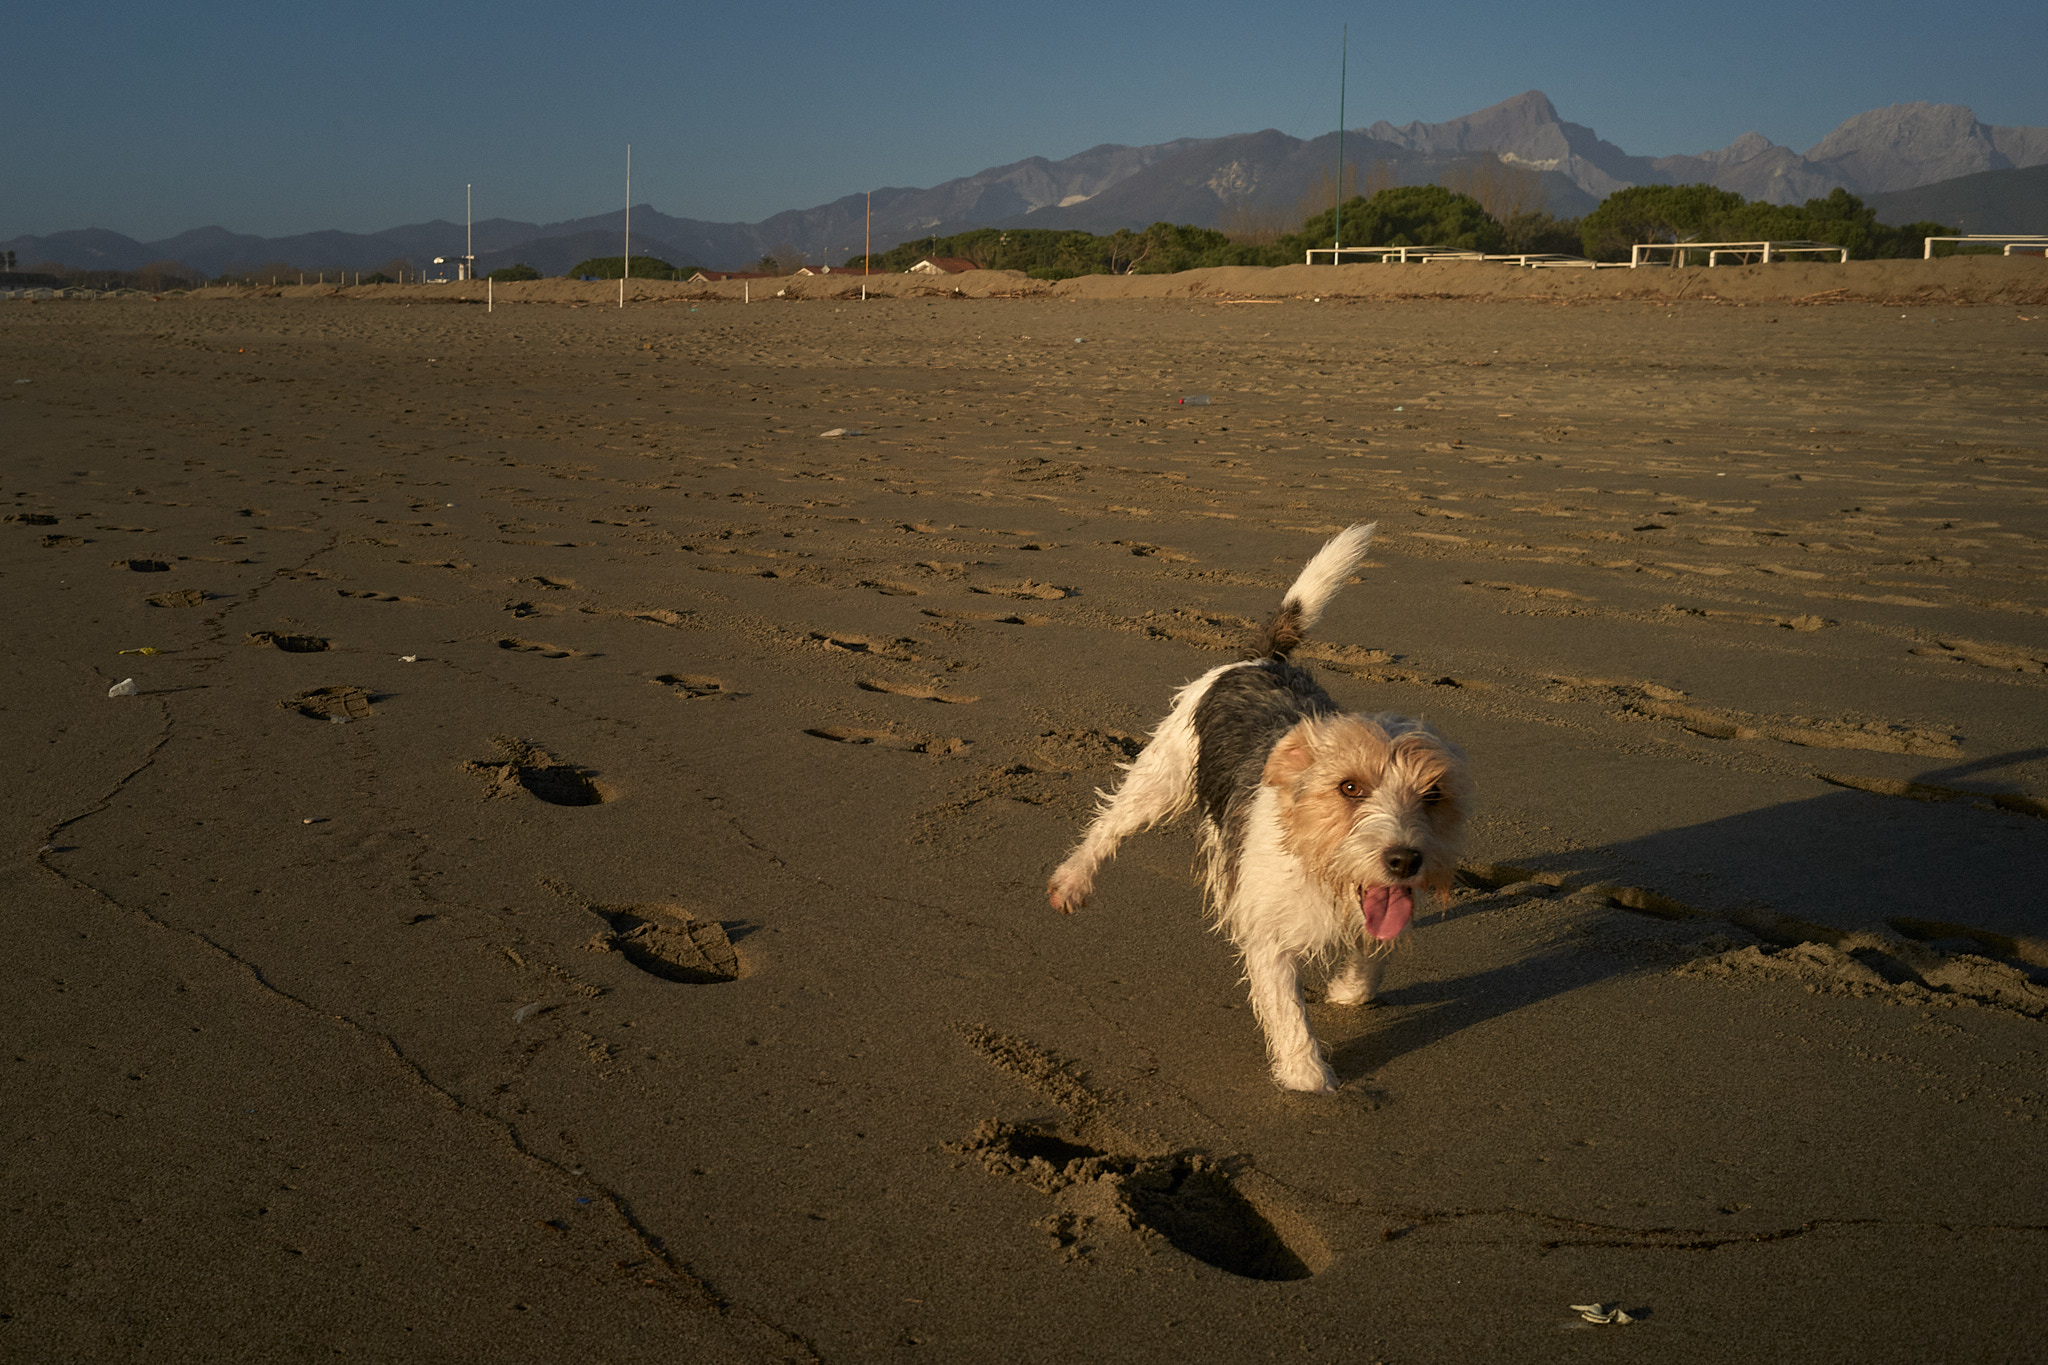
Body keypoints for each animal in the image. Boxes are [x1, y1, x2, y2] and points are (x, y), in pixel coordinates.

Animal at [1048, 527, 1466, 1096]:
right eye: (1350, 787)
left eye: (1433, 795)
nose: (1404, 860)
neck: (1316, 861)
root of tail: (1264, 660)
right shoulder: (1271, 936)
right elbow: (1287, 1009)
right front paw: (1307, 1075)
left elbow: (1370, 956)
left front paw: (1348, 989)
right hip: (1163, 775)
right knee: (1109, 825)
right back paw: (1073, 880)